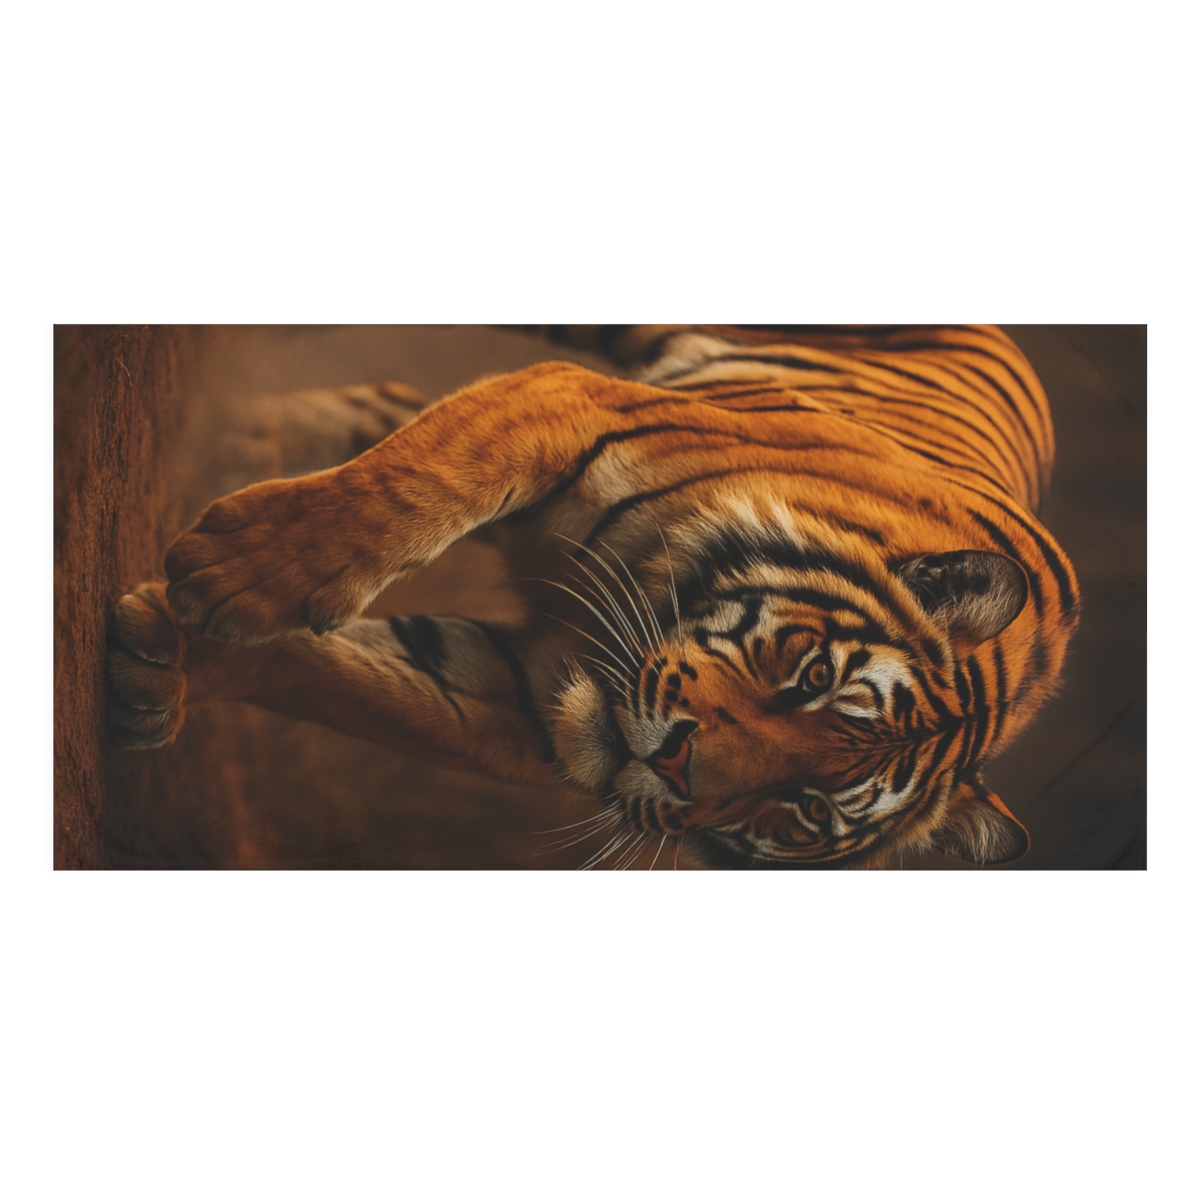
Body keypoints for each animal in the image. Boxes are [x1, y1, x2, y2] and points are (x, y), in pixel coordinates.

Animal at [106, 324, 1079, 868]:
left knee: (387, 402)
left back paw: (265, 430)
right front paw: (239, 570)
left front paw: (157, 668)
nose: (677, 765)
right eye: (812, 678)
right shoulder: (570, 404)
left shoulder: (520, 696)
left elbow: (340, 680)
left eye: (806, 810)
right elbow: (414, 483)